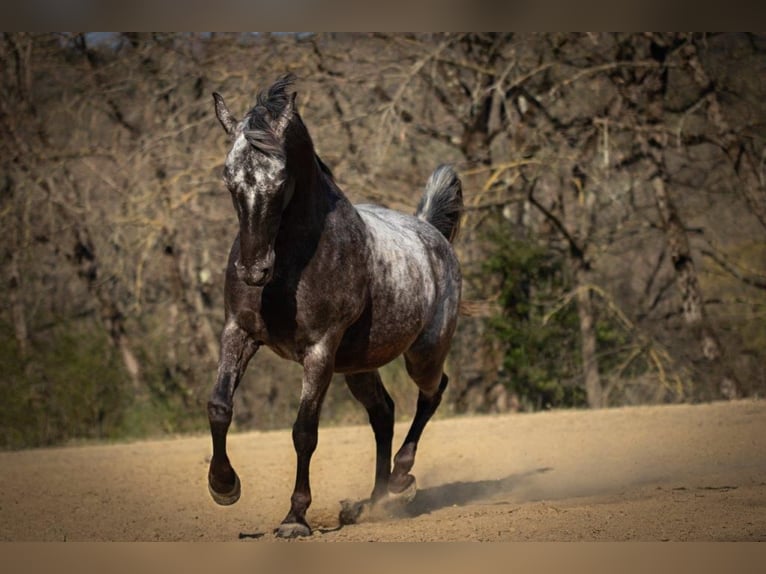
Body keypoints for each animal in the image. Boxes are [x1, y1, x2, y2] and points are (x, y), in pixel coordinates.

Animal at [207, 75, 464, 540]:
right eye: (228, 177)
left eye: (281, 178)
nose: (253, 270)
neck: (294, 263)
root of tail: (431, 232)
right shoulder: (238, 332)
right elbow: (219, 406)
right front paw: (224, 486)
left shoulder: (319, 351)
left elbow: (304, 431)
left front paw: (294, 518)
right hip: (359, 367)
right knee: (383, 413)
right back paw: (372, 501)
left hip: (423, 353)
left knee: (433, 393)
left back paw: (400, 478)